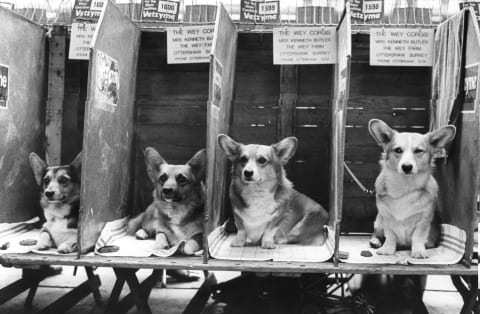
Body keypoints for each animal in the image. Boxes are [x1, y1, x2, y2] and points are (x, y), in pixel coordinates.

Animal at [370, 119, 456, 258]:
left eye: (418, 151)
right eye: (398, 150)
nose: (406, 167)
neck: (405, 186)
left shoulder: (424, 220)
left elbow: (417, 236)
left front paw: (418, 251)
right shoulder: (385, 217)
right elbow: (390, 236)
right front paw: (387, 249)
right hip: (378, 221)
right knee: (377, 233)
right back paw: (375, 241)